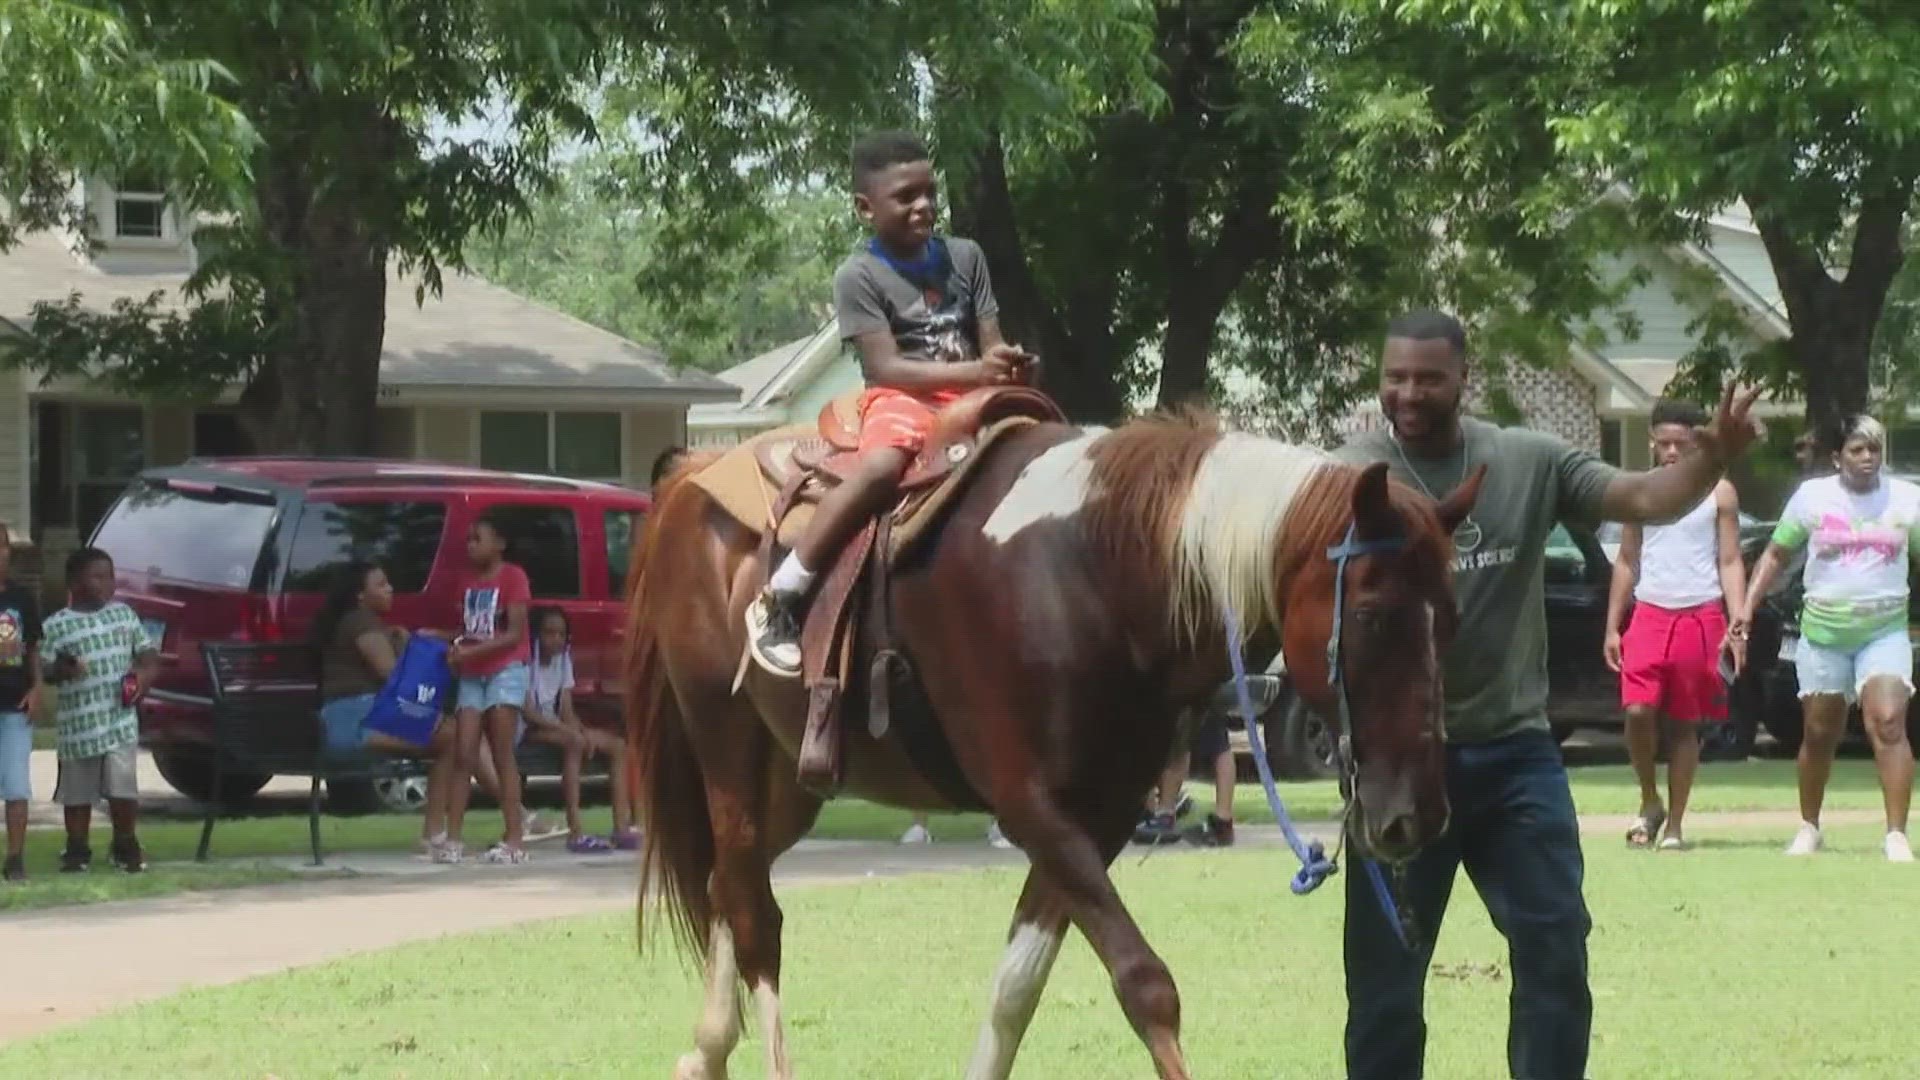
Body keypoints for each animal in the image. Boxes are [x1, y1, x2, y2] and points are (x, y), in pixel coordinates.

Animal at [629, 411, 1482, 1076]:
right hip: (726, 749)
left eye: (1451, 615)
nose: (1418, 815)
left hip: (791, 779)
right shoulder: (1035, 809)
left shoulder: (1096, 818)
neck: (1097, 573)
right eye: (1371, 614)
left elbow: (1017, 987)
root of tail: (694, 478)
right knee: (753, 912)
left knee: (726, 888)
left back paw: (705, 1048)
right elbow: (1145, 984)